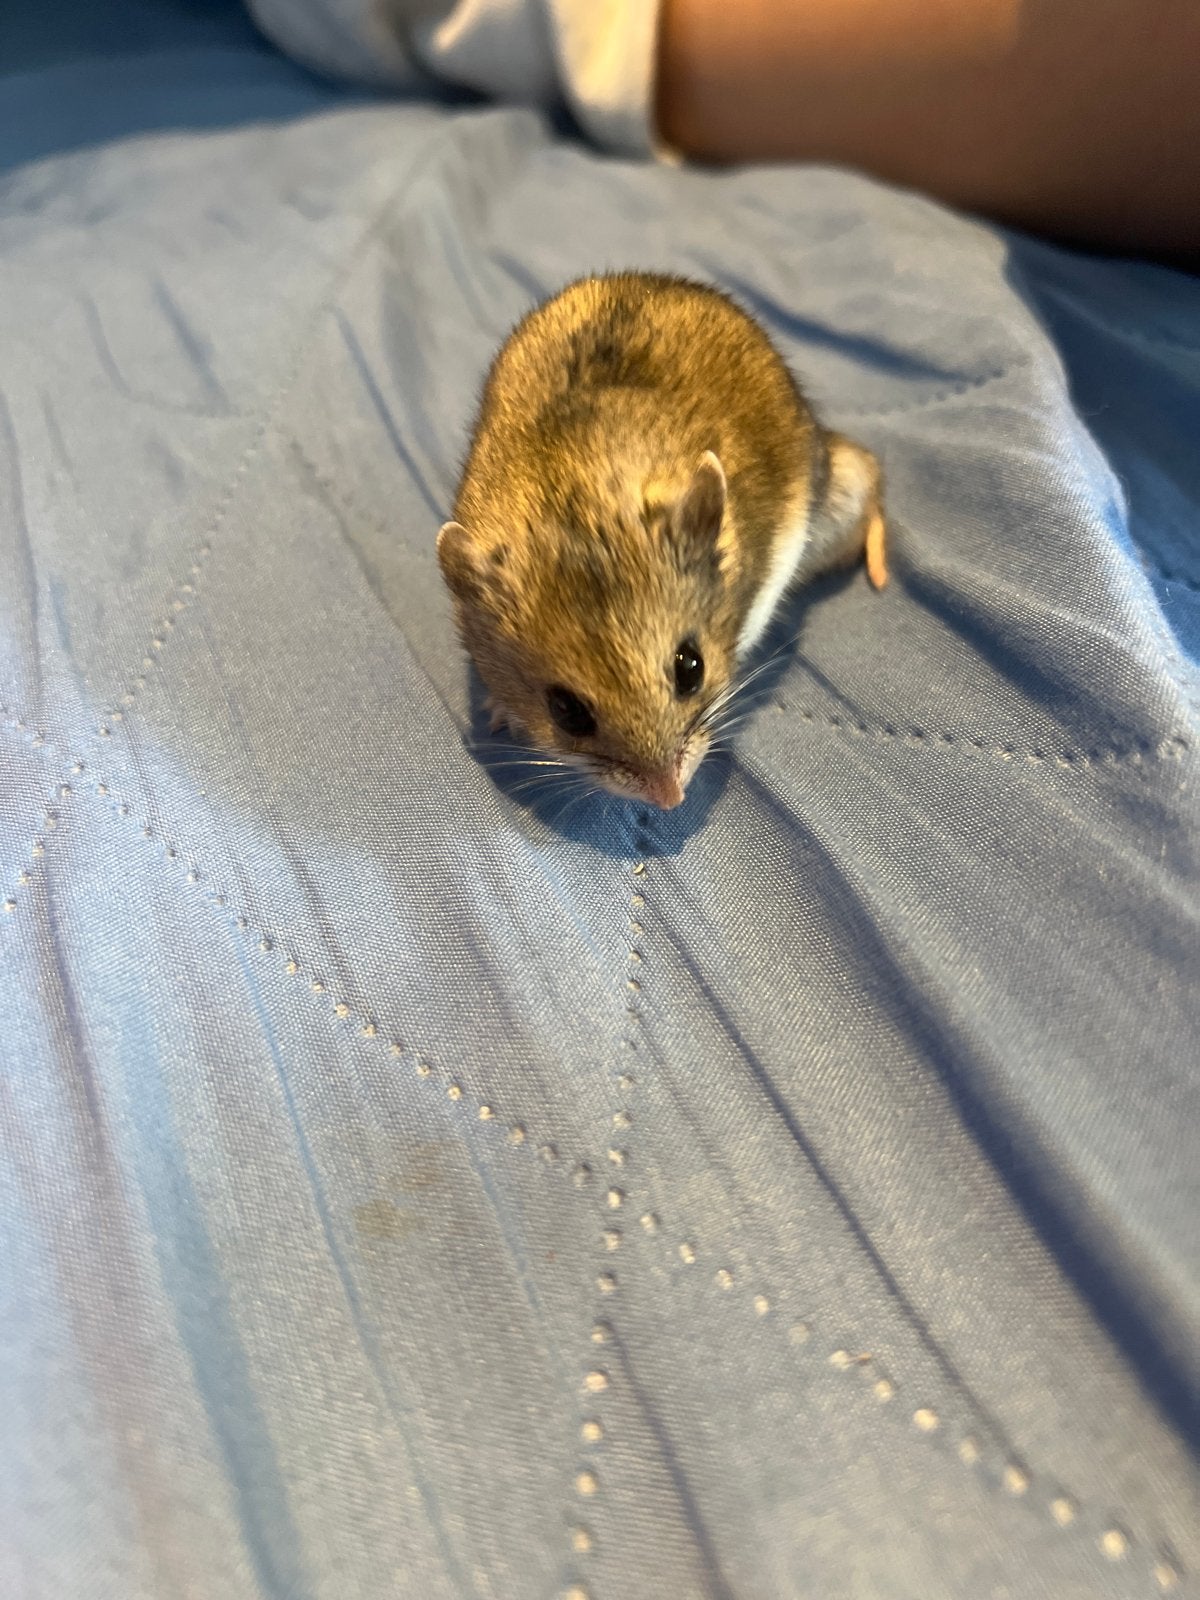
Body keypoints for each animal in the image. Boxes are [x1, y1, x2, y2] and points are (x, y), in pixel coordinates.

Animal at [437, 272, 887, 811]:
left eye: (691, 667)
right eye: (566, 711)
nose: (671, 801)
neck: (571, 492)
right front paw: (500, 715)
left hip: (837, 500)